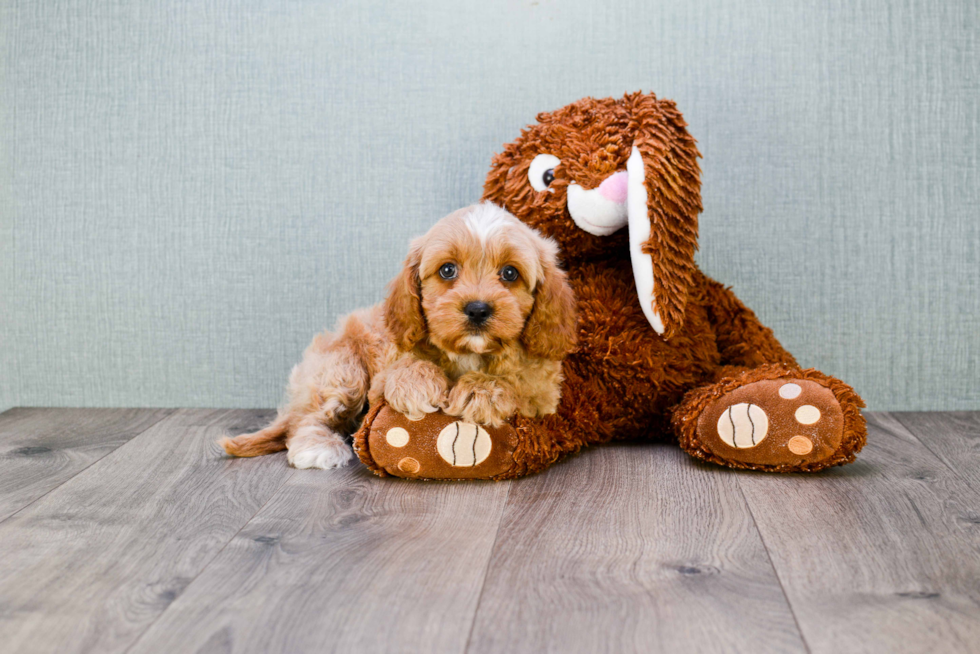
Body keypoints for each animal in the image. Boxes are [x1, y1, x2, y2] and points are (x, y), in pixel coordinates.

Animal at [221, 202, 576, 468]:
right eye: (448, 270)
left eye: (510, 273)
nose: (477, 309)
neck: (468, 354)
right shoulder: (382, 370)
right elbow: (403, 368)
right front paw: (417, 383)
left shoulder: (544, 391)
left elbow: (518, 382)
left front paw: (482, 390)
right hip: (341, 370)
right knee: (306, 419)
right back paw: (317, 446)